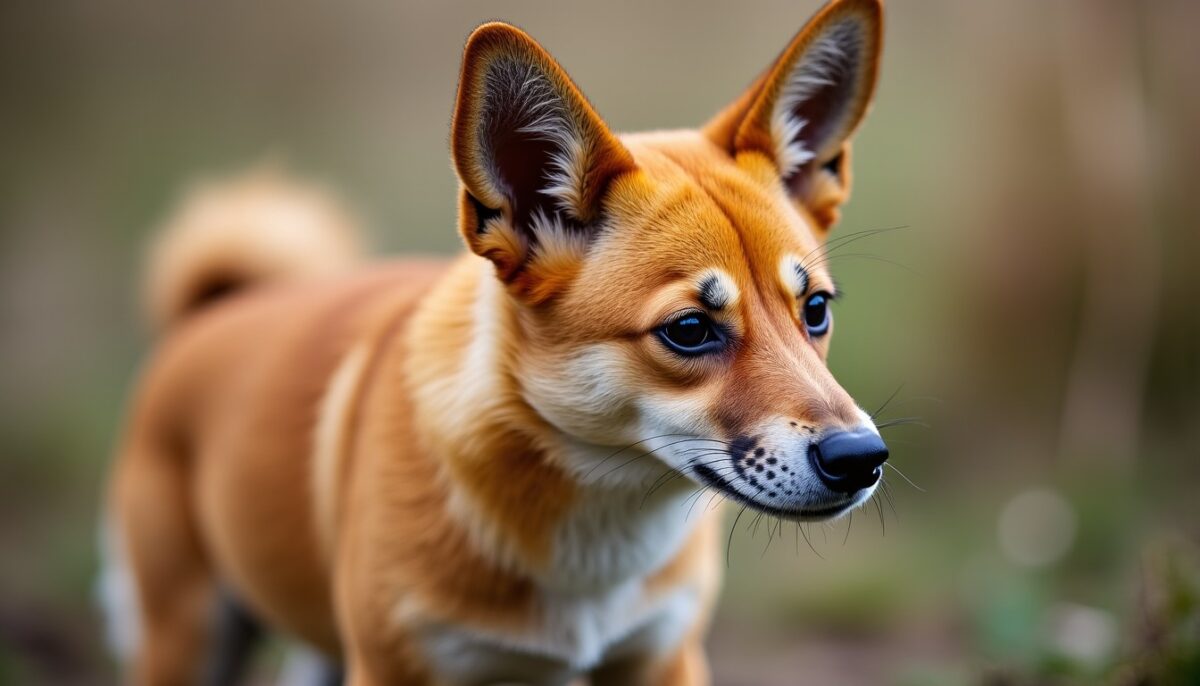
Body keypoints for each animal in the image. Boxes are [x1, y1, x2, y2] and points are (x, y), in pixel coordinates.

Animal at [100, 0, 889, 683]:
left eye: (815, 310)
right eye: (690, 330)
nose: (863, 458)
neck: (597, 531)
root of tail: (216, 307)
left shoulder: (662, 658)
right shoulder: (393, 668)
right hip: (189, 635)